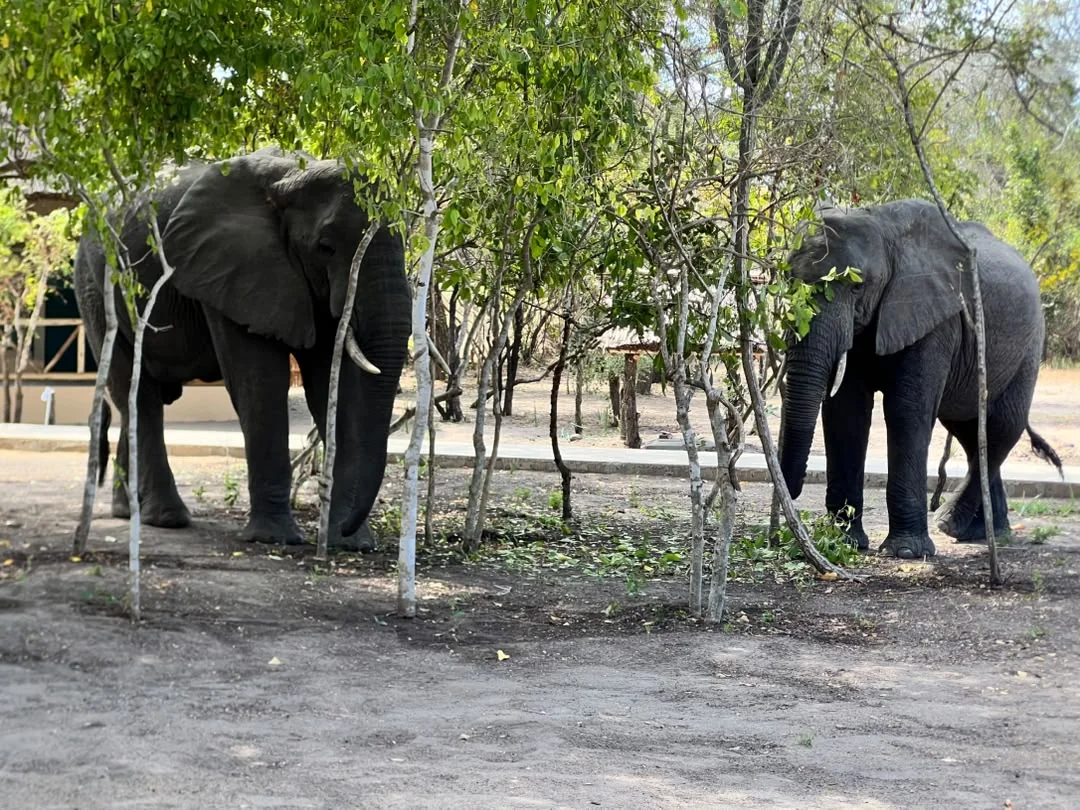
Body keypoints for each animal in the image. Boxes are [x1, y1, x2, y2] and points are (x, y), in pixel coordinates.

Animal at [74, 147, 412, 550]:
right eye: (325, 247)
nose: (345, 530)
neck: (291, 177)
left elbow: (334, 386)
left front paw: (351, 542)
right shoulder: (232, 269)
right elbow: (260, 381)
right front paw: (275, 540)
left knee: (134, 398)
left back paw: (128, 512)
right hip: (95, 290)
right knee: (138, 395)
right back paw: (168, 519)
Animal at [778, 198, 1062, 559]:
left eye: (857, 286)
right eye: (787, 278)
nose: (792, 491)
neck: (883, 230)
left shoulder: (935, 318)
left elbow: (907, 411)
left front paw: (906, 552)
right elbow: (846, 412)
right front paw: (844, 543)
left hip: (1028, 345)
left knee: (1001, 426)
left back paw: (949, 524)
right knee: (970, 431)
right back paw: (986, 533)